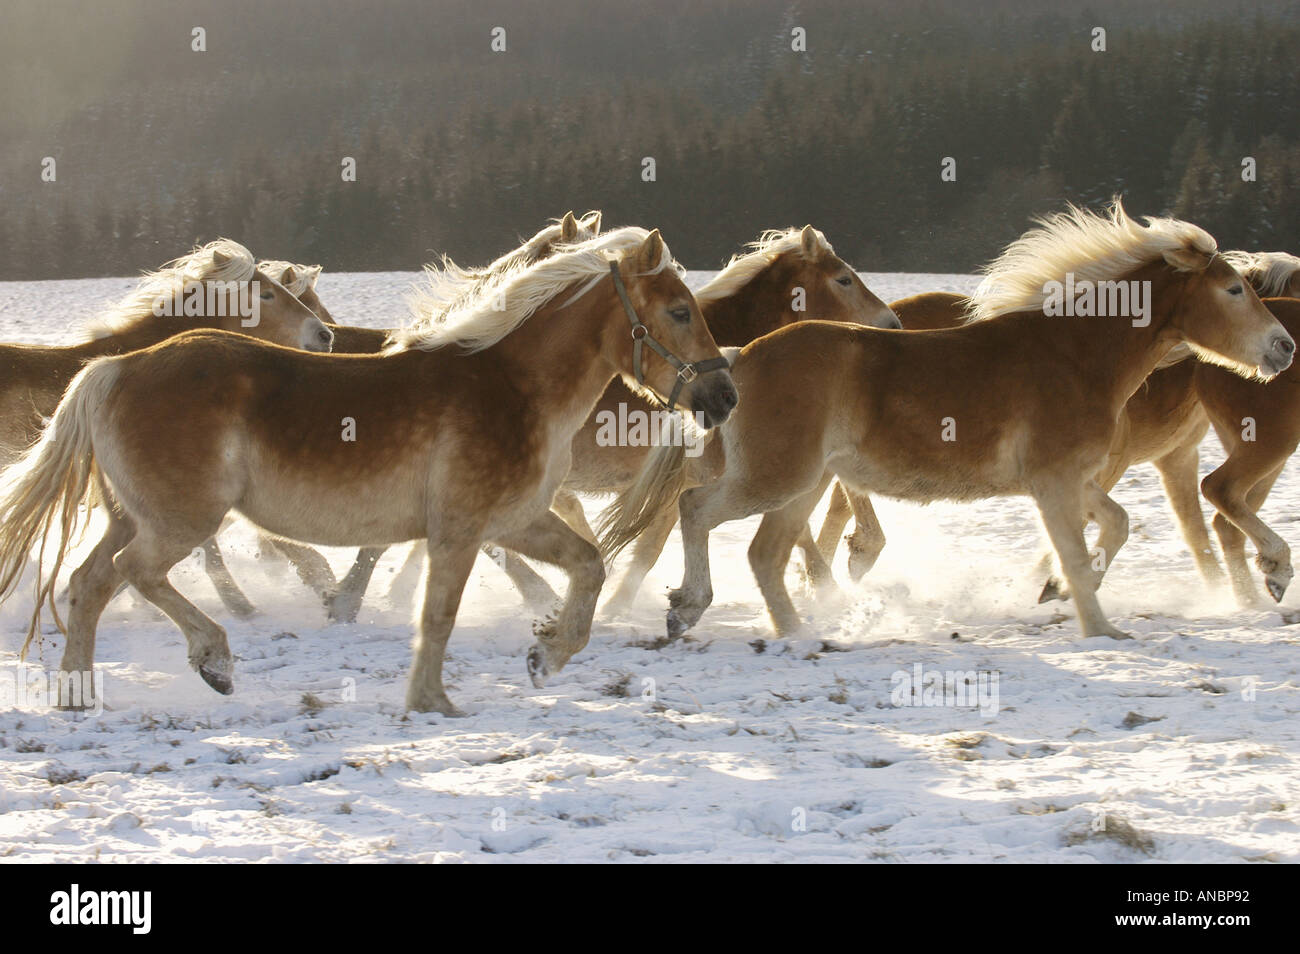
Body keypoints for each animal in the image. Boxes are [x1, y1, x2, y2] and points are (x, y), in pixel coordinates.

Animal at [0, 227, 733, 712]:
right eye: (678, 310)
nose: (723, 396)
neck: (512, 386)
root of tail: (112, 369)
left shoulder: (514, 520)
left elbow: (589, 566)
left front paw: (545, 651)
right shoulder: (460, 530)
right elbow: (437, 616)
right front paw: (431, 702)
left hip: (133, 517)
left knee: (87, 583)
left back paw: (77, 694)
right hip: (179, 521)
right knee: (130, 576)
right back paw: (214, 658)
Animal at [603, 204, 1294, 647]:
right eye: (1234, 290)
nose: (1284, 347)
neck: (1076, 352)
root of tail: (740, 356)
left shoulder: (1070, 478)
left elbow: (1117, 525)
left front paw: (1061, 594)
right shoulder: (1053, 483)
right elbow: (1075, 552)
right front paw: (1099, 627)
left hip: (804, 483)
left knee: (765, 554)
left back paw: (800, 635)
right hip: (778, 477)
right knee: (696, 509)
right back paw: (689, 608)